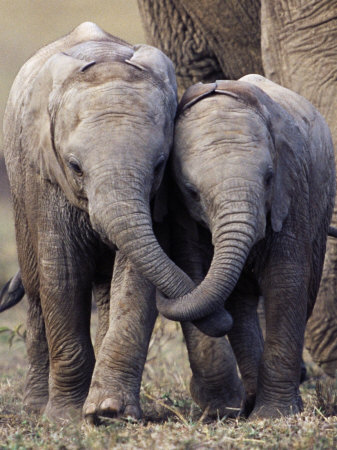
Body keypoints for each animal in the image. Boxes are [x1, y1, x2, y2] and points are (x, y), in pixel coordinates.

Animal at [3, 21, 244, 422]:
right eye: (75, 166)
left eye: (160, 164)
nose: (224, 318)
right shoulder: (47, 180)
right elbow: (64, 276)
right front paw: (67, 416)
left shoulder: (155, 198)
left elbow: (134, 279)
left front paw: (110, 411)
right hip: (20, 189)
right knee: (37, 287)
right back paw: (36, 406)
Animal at [155, 74, 334, 418]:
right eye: (191, 191)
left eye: (269, 178)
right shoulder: (182, 216)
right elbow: (194, 274)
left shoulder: (292, 193)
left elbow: (286, 283)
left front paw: (275, 415)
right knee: (240, 302)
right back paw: (250, 400)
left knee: (304, 292)